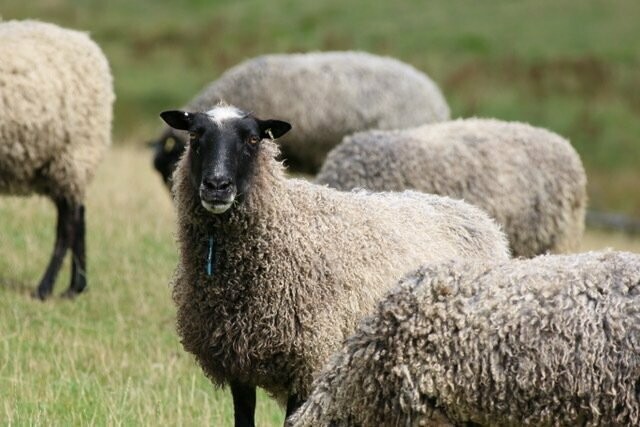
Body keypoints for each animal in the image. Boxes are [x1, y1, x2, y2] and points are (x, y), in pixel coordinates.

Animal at [0, 20, 114, 299]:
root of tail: (86, 41)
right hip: (55, 167)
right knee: (77, 215)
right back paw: (75, 287)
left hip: (73, 156)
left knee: (68, 224)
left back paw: (45, 288)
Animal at [160, 103, 509, 426]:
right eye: (195, 135)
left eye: (253, 139)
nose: (217, 186)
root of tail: (476, 215)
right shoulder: (238, 365)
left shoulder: (308, 360)